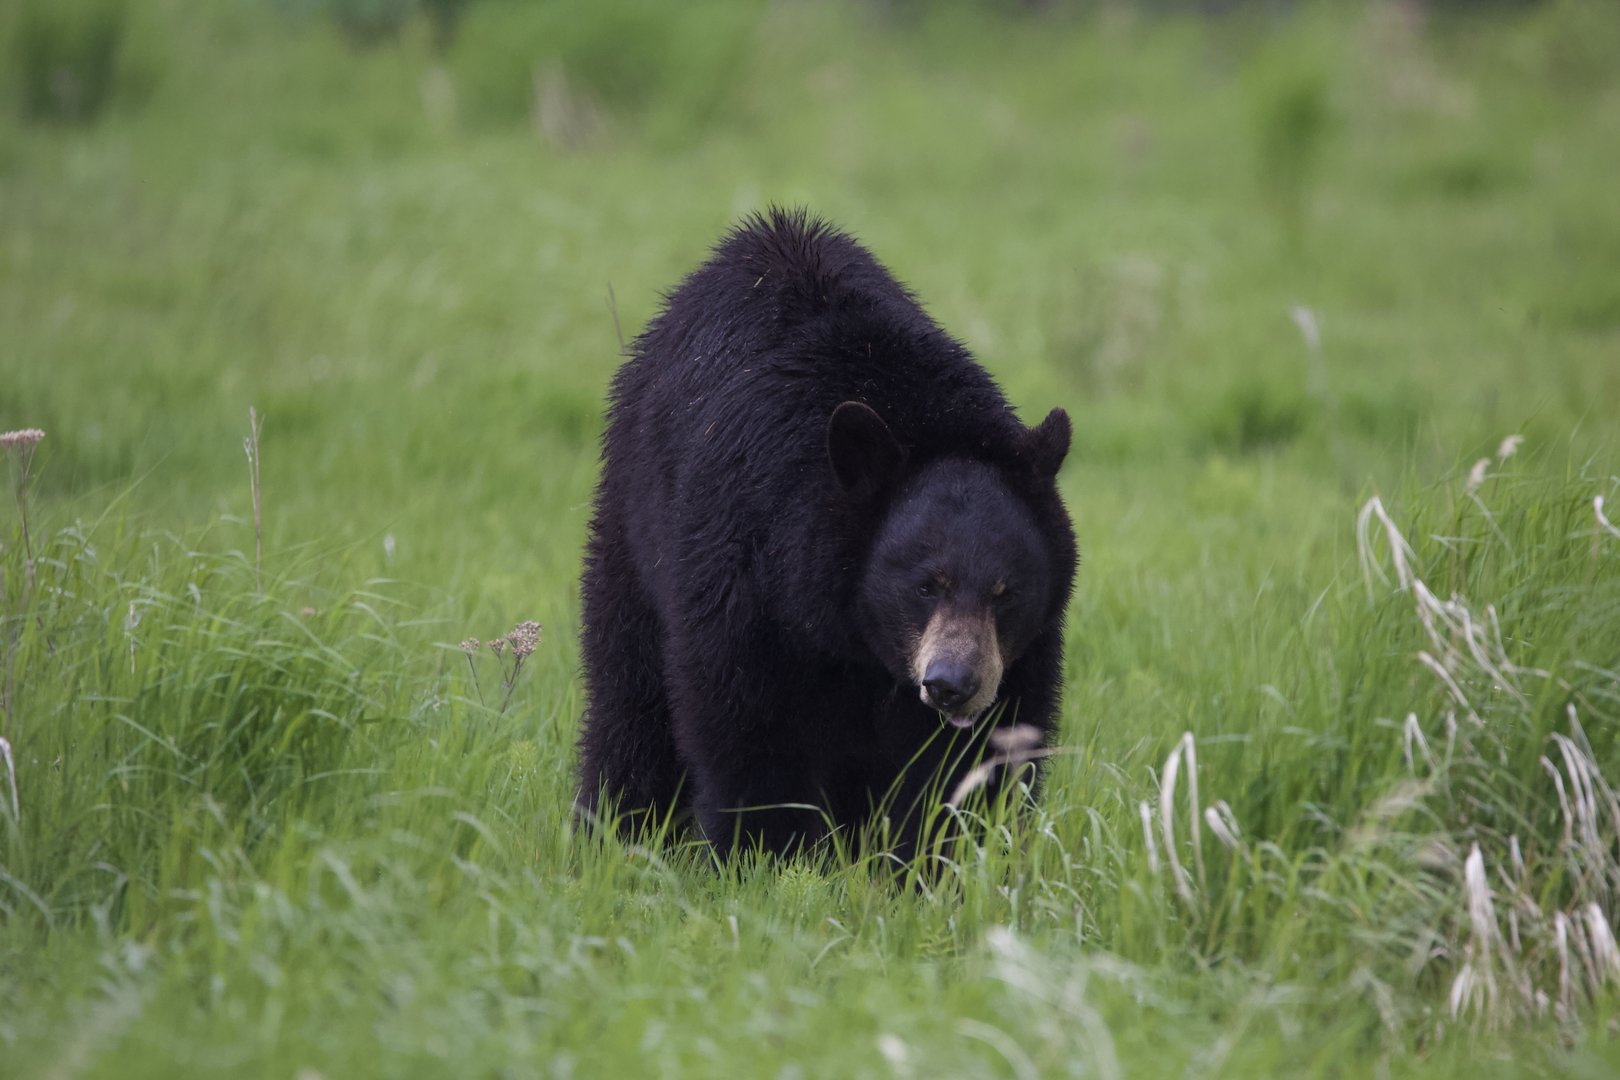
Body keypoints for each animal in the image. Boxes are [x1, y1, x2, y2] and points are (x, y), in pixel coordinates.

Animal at [577, 208, 1077, 859]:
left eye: (1006, 592)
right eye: (925, 585)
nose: (951, 684)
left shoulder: (1023, 651)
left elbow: (983, 756)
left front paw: (946, 857)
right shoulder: (745, 578)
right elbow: (747, 734)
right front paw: (761, 858)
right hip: (633, 536)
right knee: (628, 696)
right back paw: (613, 825)